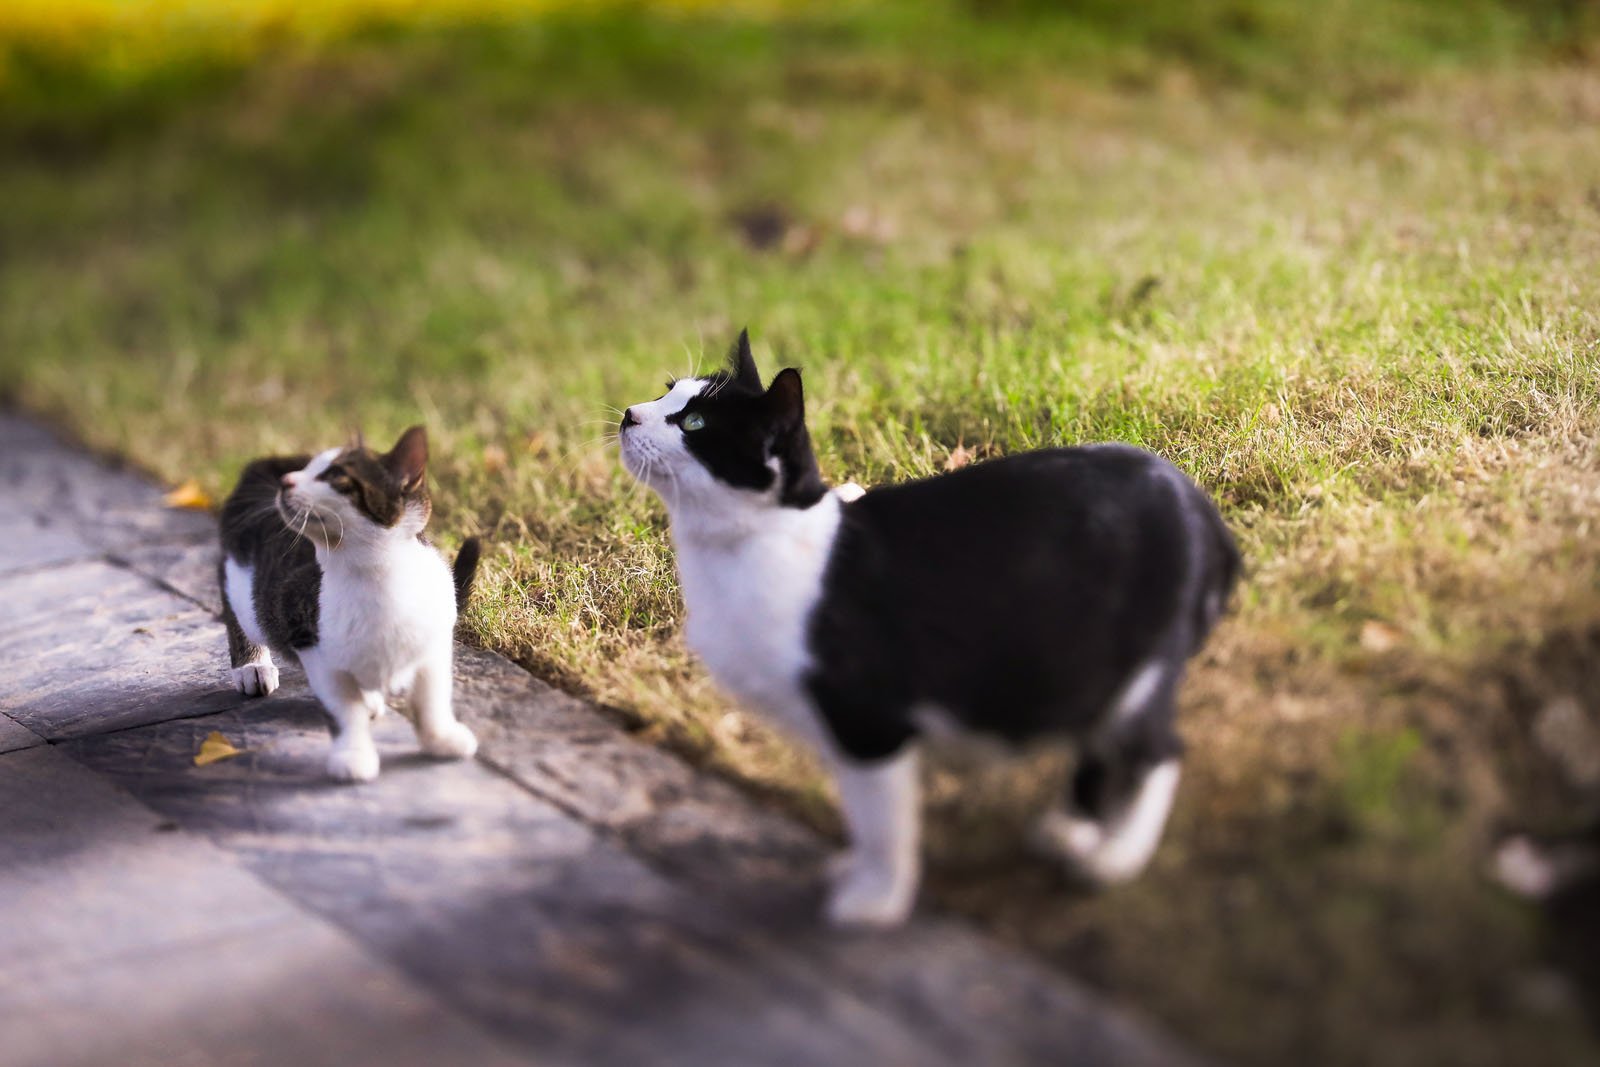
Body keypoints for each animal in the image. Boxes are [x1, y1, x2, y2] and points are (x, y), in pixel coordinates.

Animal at [219, 425, 480, 783]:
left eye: (334, 475)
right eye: (308, 472)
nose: (287, 480)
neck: (376, 576)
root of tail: (273, 461)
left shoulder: (435, 644)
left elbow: (432, 697)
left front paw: (441, 738)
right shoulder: (313, 645)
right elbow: (343, 709)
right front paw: (353, 755)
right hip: (244, 585)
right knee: (238, 609)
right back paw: (252, 665)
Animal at [617, 334, 1241, 927]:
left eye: (693, 424)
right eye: (666, 393)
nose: (628, 413)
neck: (757, 543)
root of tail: (1197, 504)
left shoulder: (868, 721)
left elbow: (883, 823)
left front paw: (875, 900)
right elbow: (861, 816)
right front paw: (856, 872)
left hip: (1137, 662)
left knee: (1159, 750)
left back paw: (1115, 857)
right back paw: (1070, 828)